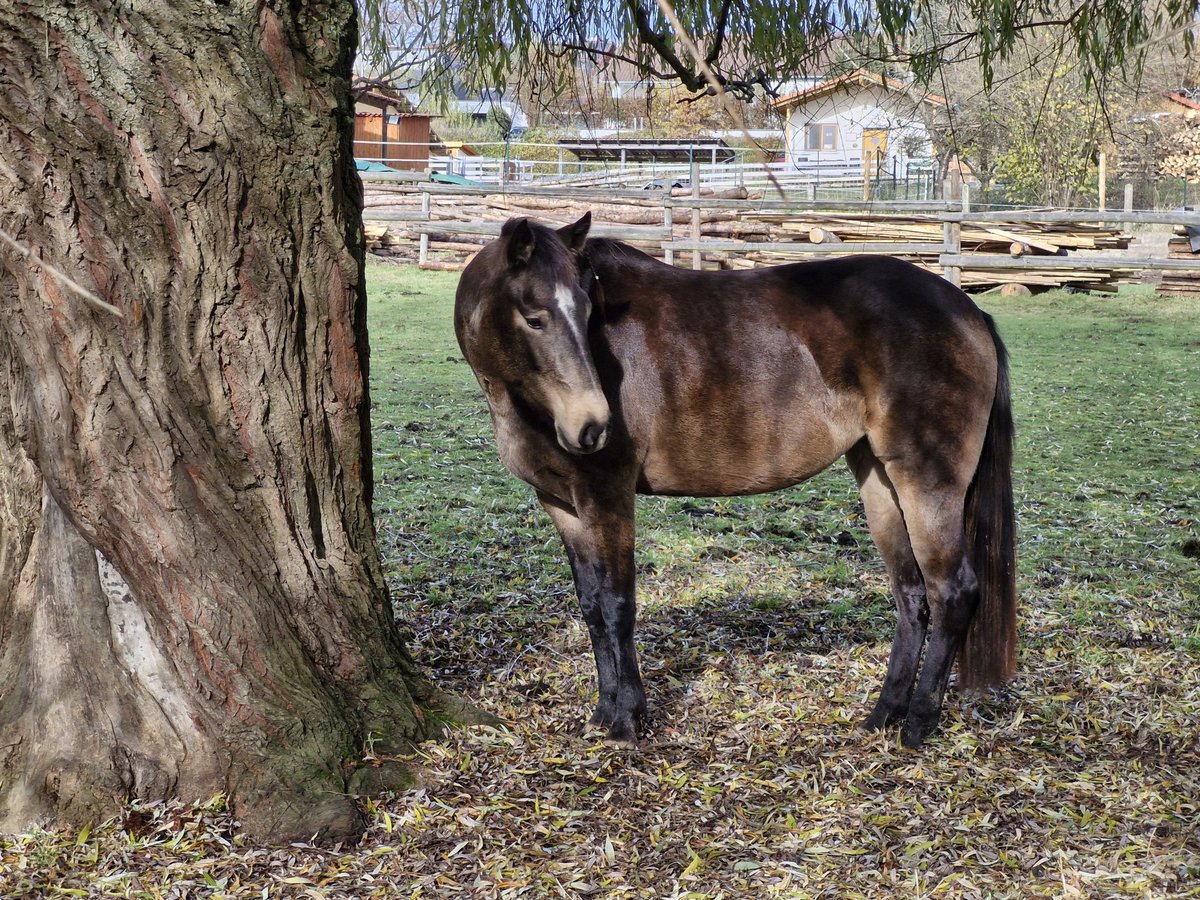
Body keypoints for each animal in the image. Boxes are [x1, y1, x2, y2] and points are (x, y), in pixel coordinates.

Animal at [454, 212, 1016, 749]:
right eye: (534, 318)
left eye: (590, 313)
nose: (592, 426)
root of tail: (968, 310)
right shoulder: (563, 504)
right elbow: (592, 606)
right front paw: (602, 712)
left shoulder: (606, 498)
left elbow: (617, 605)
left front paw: (627, 720)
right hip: (879, 481)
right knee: (911, 595)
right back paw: (883, 715)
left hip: (927, 483)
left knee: (952, 591)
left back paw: (918, 724)